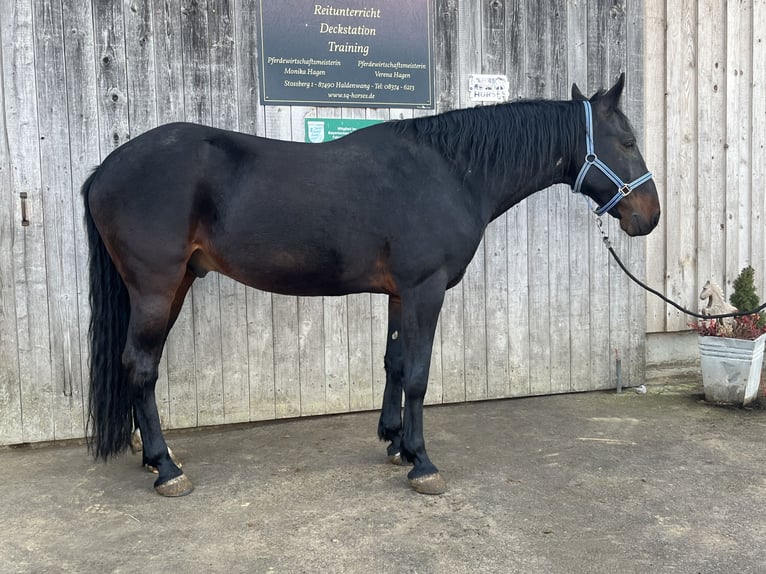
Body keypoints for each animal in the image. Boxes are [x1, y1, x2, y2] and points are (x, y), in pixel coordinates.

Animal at [82, 73, 660, 497]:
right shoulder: (427, 289)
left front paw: (395, 443)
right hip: (156, 288)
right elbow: (420, 374)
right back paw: (166, 469)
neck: (450, 172)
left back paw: (157, 458)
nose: (649, 216)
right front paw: (422, 463)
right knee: (140, 366)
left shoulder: (400, 293)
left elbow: (395, 363)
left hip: (177, 283)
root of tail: (106, 168)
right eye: (628, 141)